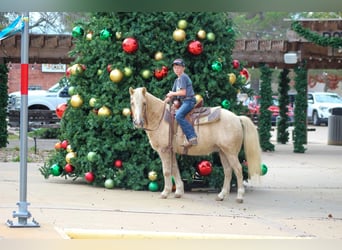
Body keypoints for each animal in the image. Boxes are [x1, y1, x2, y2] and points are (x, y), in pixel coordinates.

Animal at [129, 87, 262, 202]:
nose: (138, 122)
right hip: (223, 152)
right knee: (228, 171)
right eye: (132, 103)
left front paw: (165, 193)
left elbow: (166, 171)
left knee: (238, 170)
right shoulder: (171, 151)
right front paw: (178, 192)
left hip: (231, 153)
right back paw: (221, 195)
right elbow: (175, 169)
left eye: (144, 103)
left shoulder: (164, 150)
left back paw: (239, 196)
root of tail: (237, 118)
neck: (161, 118)